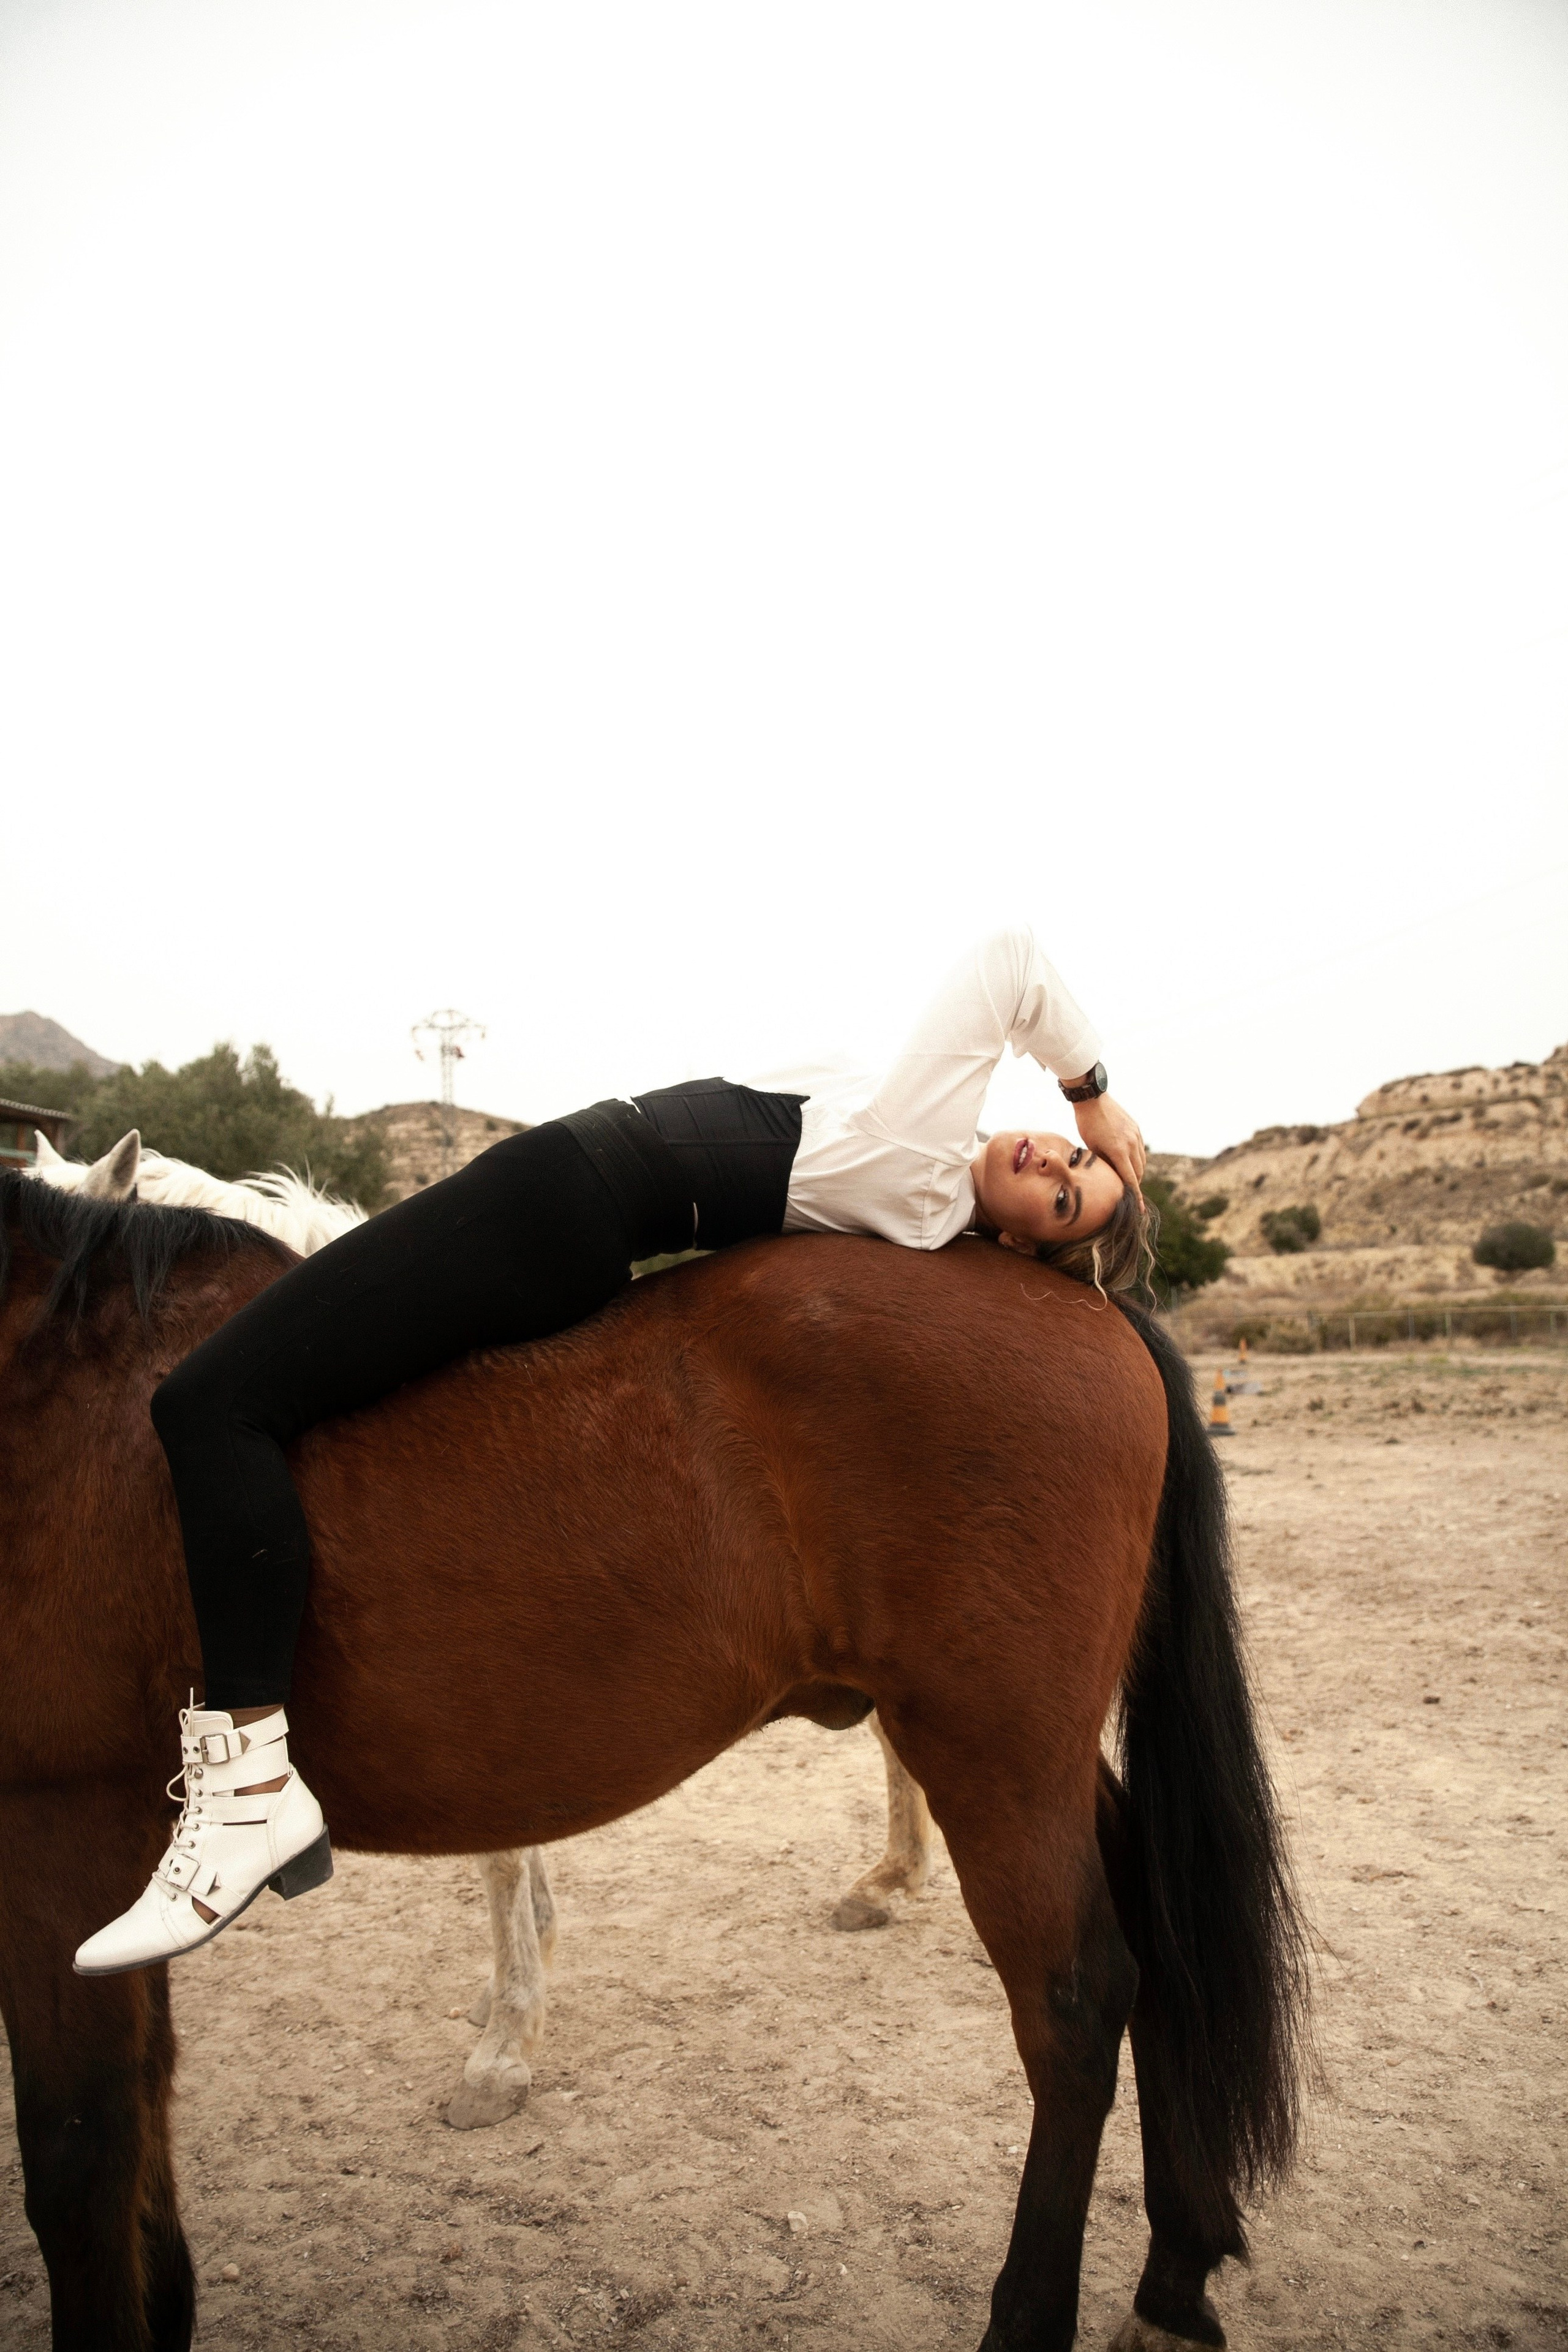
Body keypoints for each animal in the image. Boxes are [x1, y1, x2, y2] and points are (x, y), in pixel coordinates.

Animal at [0, 1166, 1308, 2352]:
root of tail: (1082, 1299)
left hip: (996, 1756)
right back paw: (1175, 2281)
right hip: (1023, 1754)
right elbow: (141, 2103)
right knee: (1160, 1933)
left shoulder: (60, 1830)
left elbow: (78, 2144)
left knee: (1076, 2004)